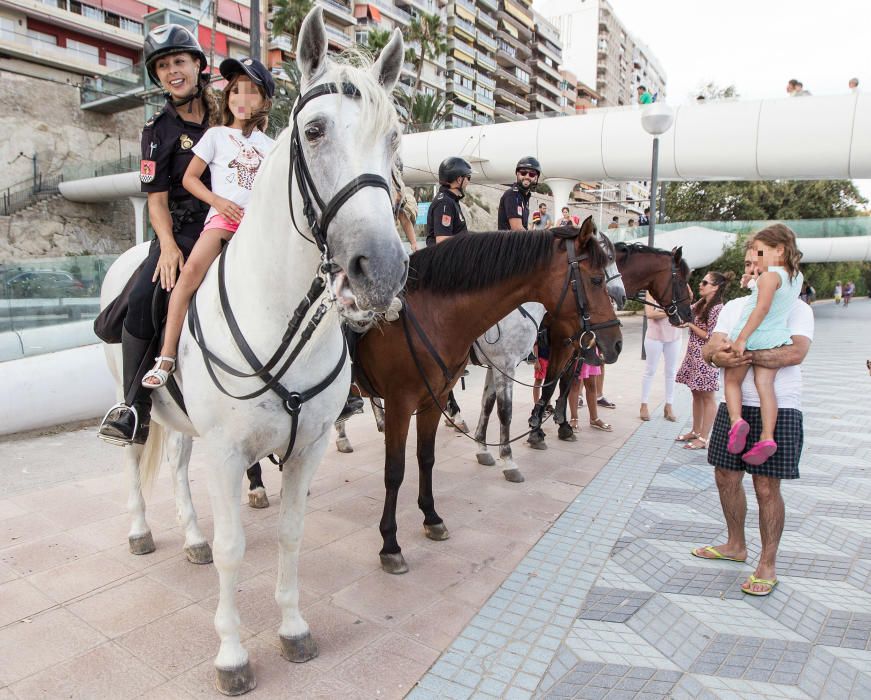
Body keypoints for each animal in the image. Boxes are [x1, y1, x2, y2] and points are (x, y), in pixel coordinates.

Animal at [100, 10, 408, 696]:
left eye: (395, 139)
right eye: (314, 131)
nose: (381, 270)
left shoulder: (308, 448)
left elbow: (292, 534)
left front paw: (292, 628)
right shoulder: (226, 452)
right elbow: (234, 549)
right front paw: (233, 655)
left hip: (182, 419)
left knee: (177, 463)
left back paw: (190, 535)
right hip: (130, 400)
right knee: (133, 458)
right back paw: (139, 531)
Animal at [470, 230, 628, 482]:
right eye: (606, 263)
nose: (621, 297)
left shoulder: (499, 364)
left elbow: (489, 402)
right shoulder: (522, 359)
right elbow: (543, 390)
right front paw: (532, 435)